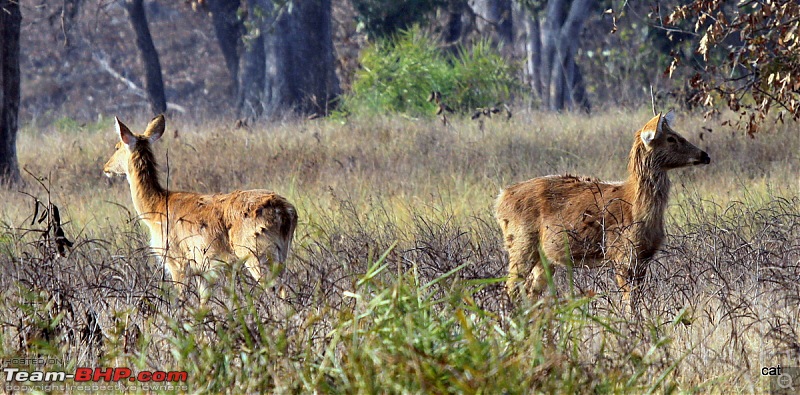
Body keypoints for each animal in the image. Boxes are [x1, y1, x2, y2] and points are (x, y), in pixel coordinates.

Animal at [103, 116, 296, 302]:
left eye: (117, 146)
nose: (105, 167)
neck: (155, 209)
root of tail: (287, 213)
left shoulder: (177, 260)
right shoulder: (201, 269)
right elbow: (203, 302)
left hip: (256, 251)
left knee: (274, 289)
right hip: (281, 252)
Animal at [494, 113, 712, 304]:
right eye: (671, 138)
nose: (705, 155)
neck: (637, 207)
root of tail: (501, 198)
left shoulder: (643, 257)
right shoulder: (622, 253)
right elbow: (630, 303)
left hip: (544, 257)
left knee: (529, 292)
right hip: (520, 242)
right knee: (510, 289)